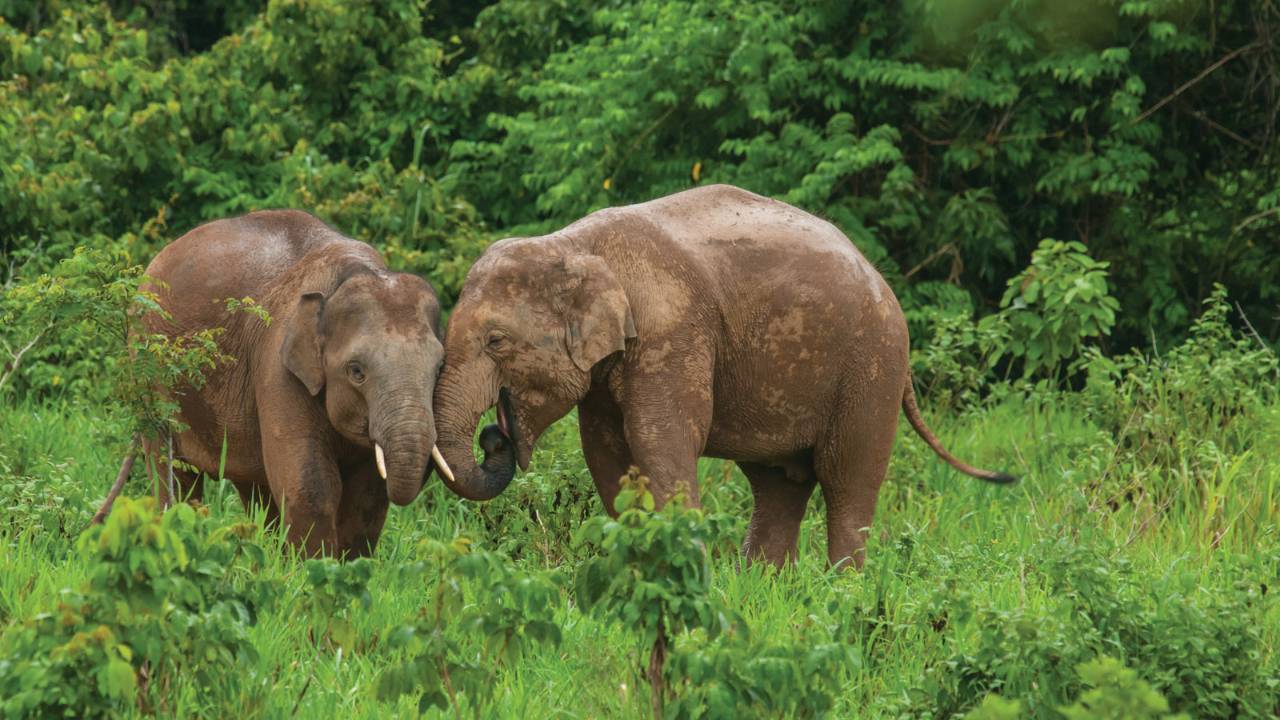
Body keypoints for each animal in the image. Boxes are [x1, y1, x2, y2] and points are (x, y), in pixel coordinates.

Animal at [435, 183, 1013, 566]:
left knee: (848, 478)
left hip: (871, 367)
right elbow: (606, 453)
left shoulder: (674, 332)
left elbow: (661, 438)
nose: (494, 435)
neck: (571, 244)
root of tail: (882, 282)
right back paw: (764, 584)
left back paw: (843, 588)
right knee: (779, 484)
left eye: (496, 341)